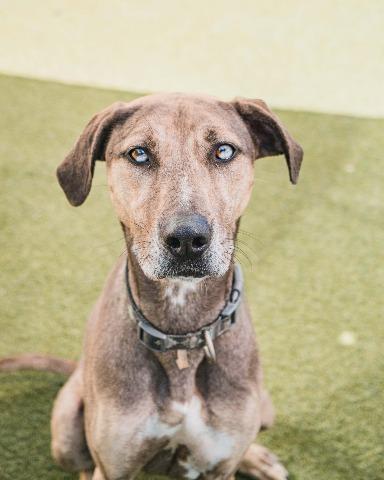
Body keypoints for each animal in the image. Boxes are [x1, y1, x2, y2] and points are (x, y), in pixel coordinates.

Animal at [0, 94, 304, 480]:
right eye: (139, 154)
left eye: (223, 151)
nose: (187, 239)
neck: (181, 338)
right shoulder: (114, 467)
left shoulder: (220, 464)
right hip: (66, 430)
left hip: (265, 407)